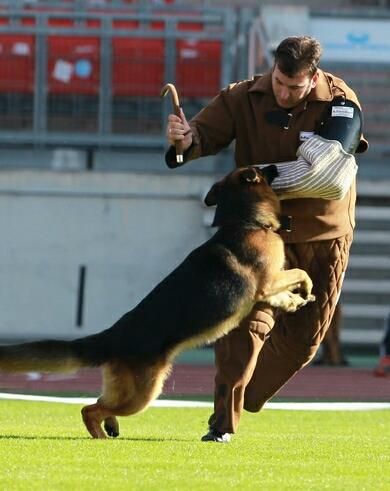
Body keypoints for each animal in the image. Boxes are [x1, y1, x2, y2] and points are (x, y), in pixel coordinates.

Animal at [0, 165, 314, 438]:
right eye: (260, 169)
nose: (276, 166)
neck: (246, 221)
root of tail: (112, 337)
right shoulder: (268, 281)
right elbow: (300, 272)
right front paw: (306, 288)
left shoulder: (267, 287)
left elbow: (286, 290)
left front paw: (295, 301)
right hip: (143, 394)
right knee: (89, 409)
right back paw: (100, 437)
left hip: (128, 390)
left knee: (101, 403)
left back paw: (110, 426)